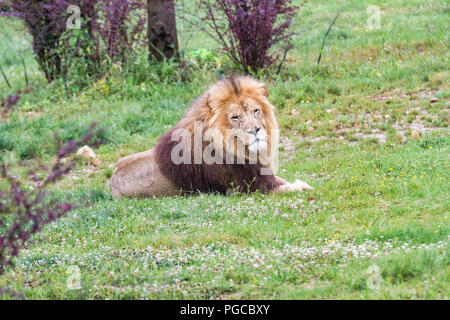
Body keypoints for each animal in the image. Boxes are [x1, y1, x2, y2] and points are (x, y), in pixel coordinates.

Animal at [110, 77, 312, 198]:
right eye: (235, 117)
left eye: (256, 111)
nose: (255, 130)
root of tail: (111, 180)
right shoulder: (246, 188)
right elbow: (291, 188)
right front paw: (304, 186)